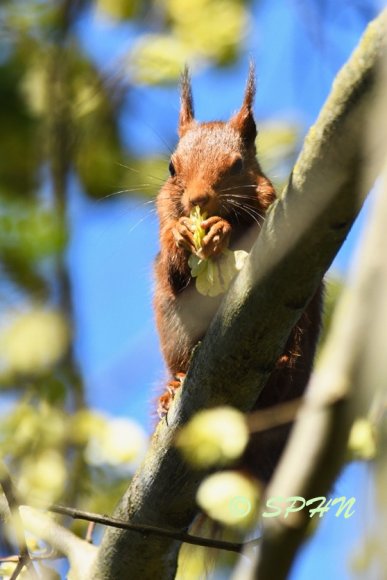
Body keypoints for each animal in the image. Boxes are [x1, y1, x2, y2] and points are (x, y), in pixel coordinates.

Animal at [153, 63, 322, 482]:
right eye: (171, 168)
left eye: (238, 166)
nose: (198, 199)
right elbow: (174, 270)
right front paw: (180, 234)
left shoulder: (272, 211)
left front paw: (220, 231)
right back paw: (173, 388)